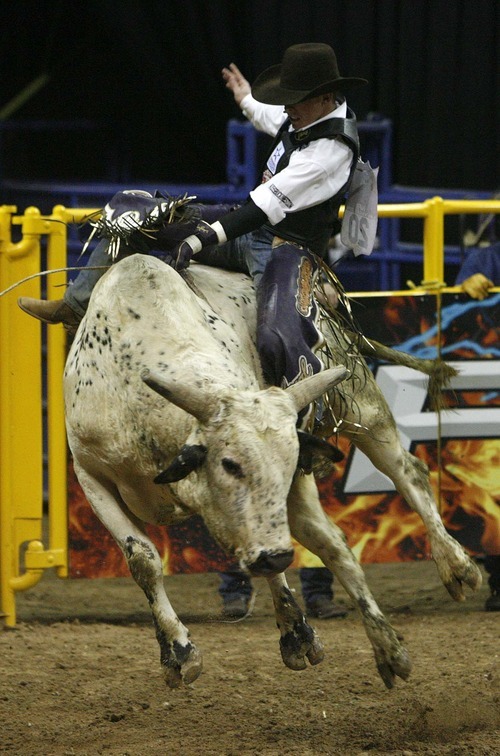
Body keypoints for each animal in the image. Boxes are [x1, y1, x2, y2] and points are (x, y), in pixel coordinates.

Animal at [64, 254, 482, 692]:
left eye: (287, 461)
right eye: (230, 463)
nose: (278, 553)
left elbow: (274, 558)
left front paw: (296, 634)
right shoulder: (91, 475)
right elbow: (144, 560)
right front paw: (179, 652)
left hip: (361, 406)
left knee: (406, 475)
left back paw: (456, 567)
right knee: (332, 542)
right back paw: (388, 646)